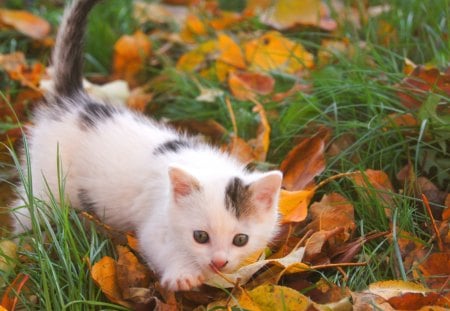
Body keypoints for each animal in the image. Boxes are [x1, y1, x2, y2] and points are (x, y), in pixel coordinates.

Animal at [11, 0, 282, 292]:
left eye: (241, 239)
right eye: (200, 236)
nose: (219, 262)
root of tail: (73, 102)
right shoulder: (155, 224)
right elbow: (158, 245)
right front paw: (182, 274)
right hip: (46, 180)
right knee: (30, 210)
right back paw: (23, 245)